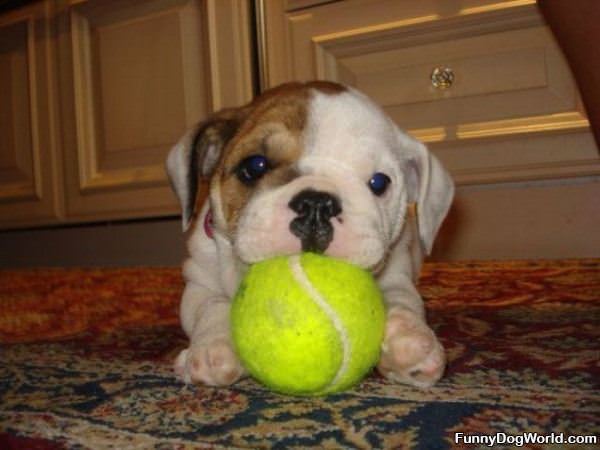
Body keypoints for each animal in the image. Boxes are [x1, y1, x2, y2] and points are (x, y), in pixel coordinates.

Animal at [166, 81, 452, 390]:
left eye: (379, 182)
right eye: (254, 166)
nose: (316, 204)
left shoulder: (397, 274)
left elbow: (402, 301)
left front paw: (410, 341)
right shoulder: (198, 281)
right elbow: (211, 306)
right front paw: (213, 348)